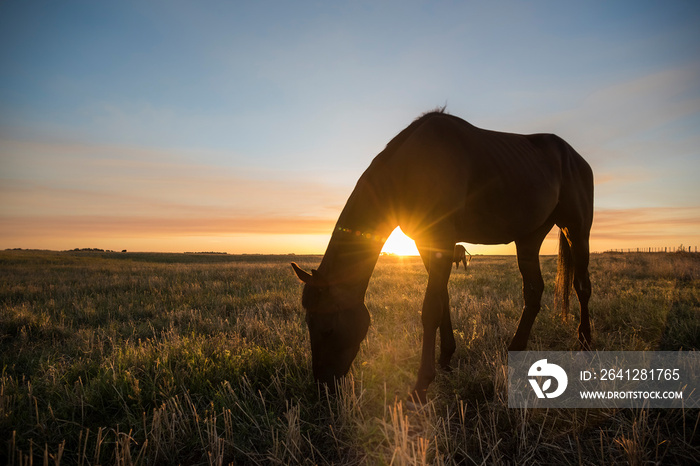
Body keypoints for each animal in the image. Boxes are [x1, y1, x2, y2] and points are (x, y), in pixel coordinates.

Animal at [292, 110, 592, 404]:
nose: (324, 386)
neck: (410, 168)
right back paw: (516, 350)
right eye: (308, 324)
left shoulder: (441, 239)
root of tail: (576, 157)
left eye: (328, 329)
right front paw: (446, 357)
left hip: (576, 229)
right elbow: (442, 299)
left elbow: (430, 309)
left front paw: (421, 385)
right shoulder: (427, 244)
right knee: (533, 291)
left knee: (581, 286)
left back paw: (585, 344)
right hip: (528, 238)